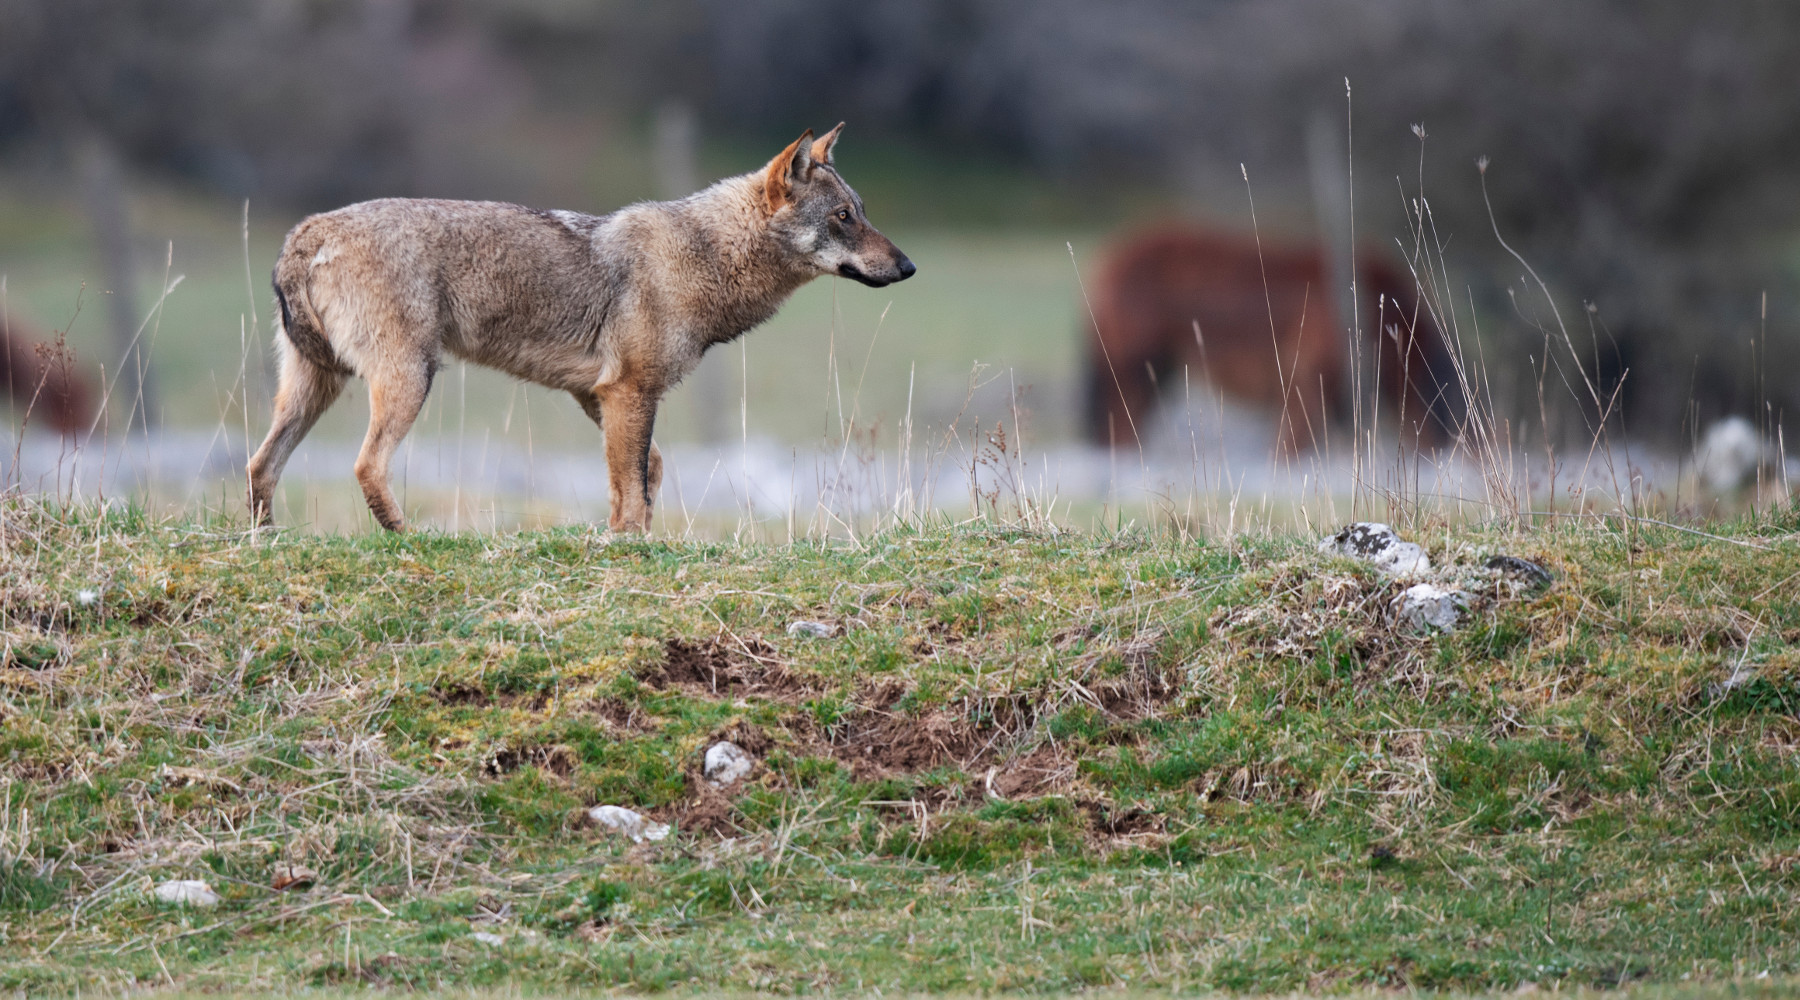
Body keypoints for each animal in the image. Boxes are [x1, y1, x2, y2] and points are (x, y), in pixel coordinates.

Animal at [248, 124, 913, 532]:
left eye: (862, 213)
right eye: (844, 217)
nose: (908, 267)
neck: (704, 256)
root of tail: (309, 229)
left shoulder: (599, 395)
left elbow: (643, 476)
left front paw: (625, 537)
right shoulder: (629, 391)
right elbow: (636, 490)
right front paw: (635, 546)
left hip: (317, 388)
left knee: (260, 466)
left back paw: (268, 539)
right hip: (409, 380)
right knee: (365, 466)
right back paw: (411, 537)